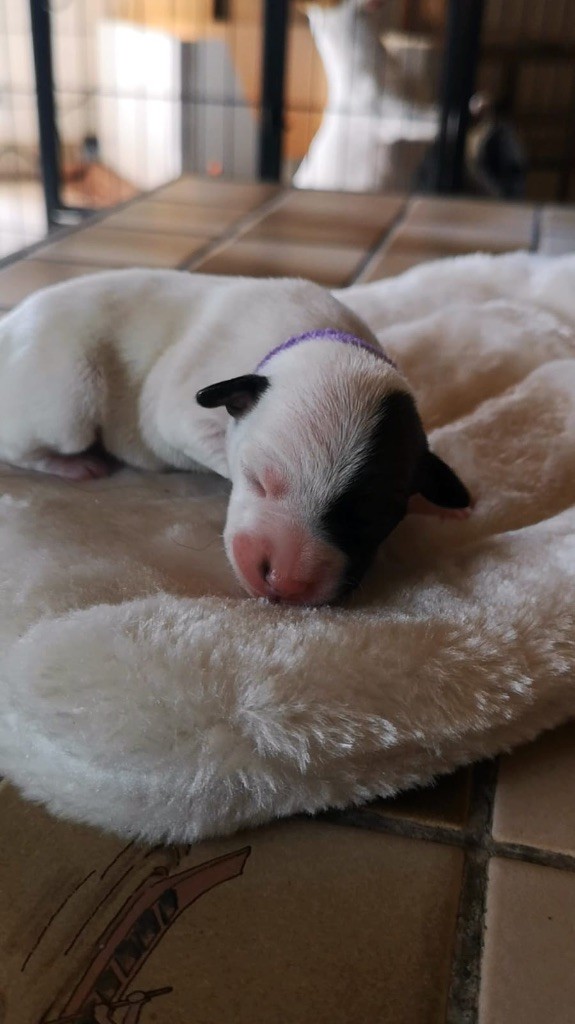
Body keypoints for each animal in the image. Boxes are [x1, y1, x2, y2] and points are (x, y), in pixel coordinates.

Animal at [0, 269, 470, 605]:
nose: (284, 580)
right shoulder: (178, 408)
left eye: (371, 518)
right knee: (21, 445)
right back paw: (73, 465)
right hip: (68, 400)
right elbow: (194, 431)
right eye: (256, 480)